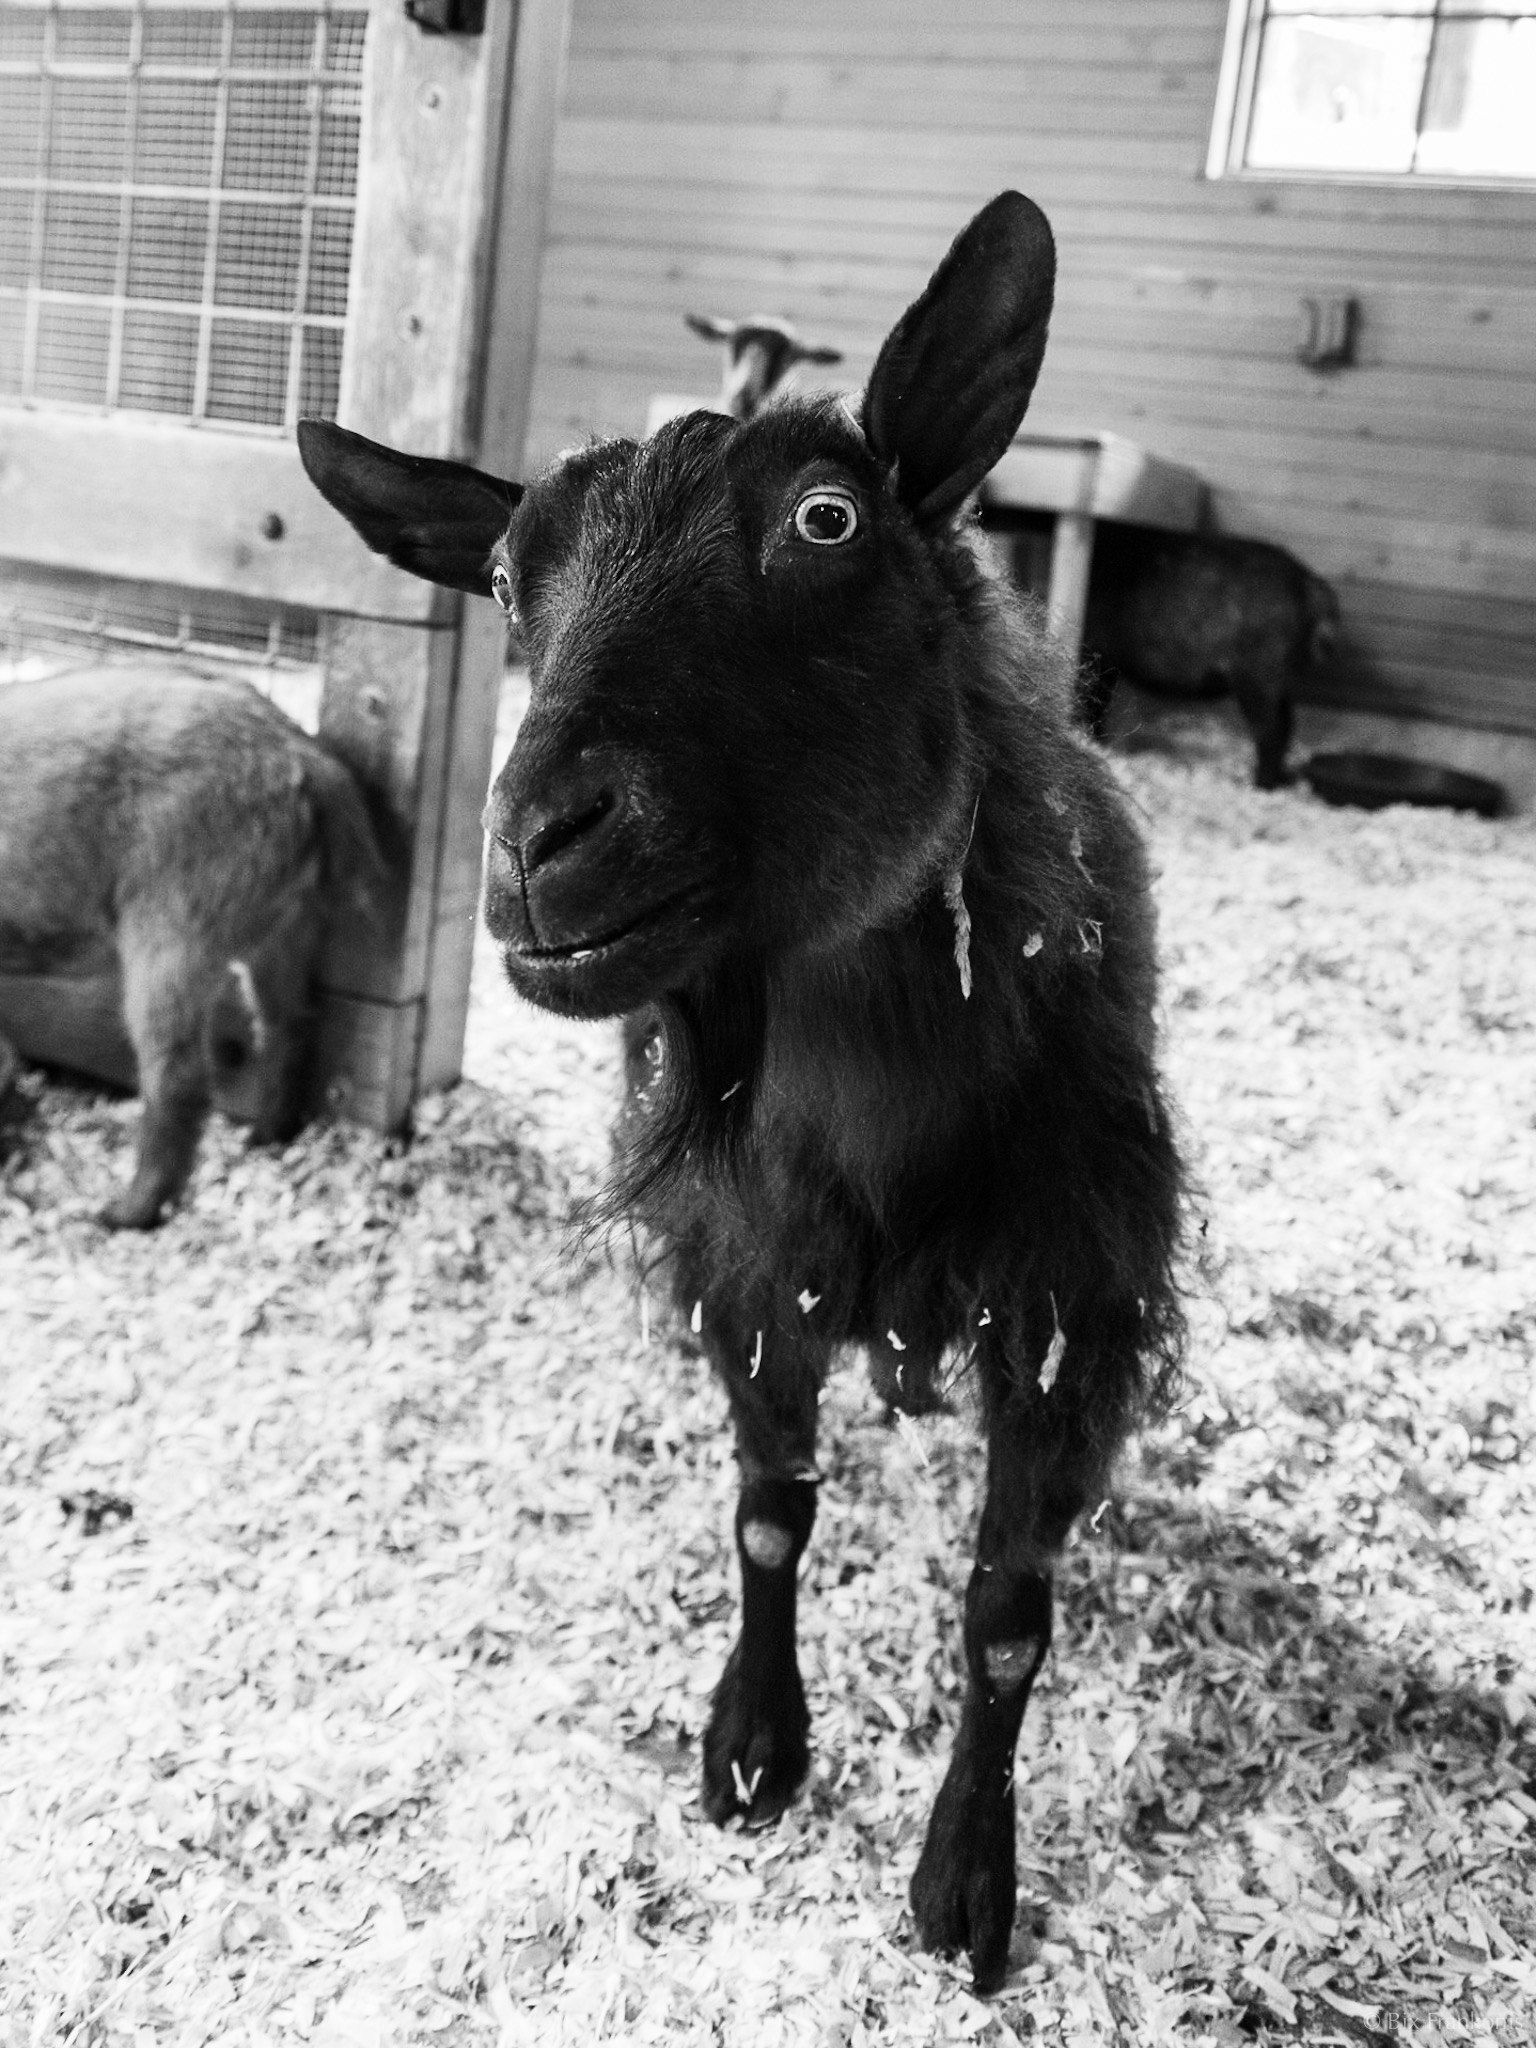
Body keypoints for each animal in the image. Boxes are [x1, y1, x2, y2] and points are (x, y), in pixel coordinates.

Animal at [301, 195, 1187, 1998]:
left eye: (826, 518)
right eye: (503, 577)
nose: (537, 842)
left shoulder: (1070, 1294)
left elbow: (1008, 1611)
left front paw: (963, 1882)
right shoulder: (747, 1255)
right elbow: (772, 1517)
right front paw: (755, 1746)